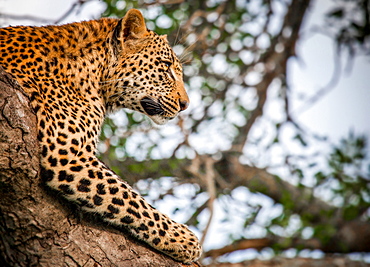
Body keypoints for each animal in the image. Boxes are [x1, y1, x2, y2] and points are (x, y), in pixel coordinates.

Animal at [0, 7, 201, 264]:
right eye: (165, 67)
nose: (185, 105)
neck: (95, 75)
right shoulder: (68, 155)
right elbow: (129, 198)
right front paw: (183, 238)